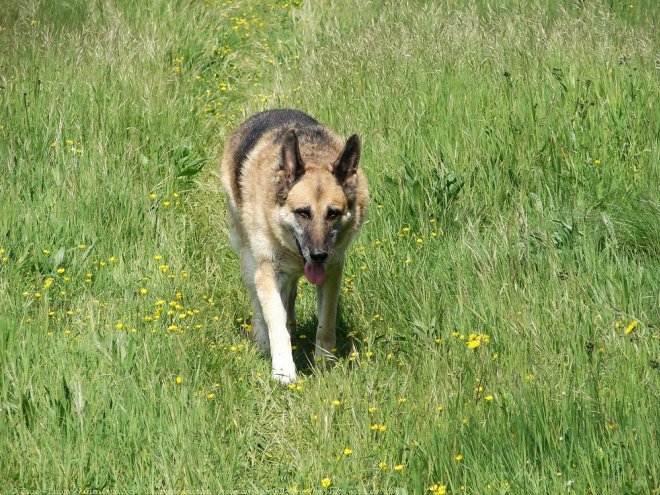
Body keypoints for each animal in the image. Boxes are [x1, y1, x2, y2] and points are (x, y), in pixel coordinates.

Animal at [220, 110, 366, 386]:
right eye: (303, 213)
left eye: (333, 213)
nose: (318, 255)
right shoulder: (267, 272)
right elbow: (275, 322)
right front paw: (283, 370)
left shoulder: (332, 272)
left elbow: (326, 322)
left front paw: (324, 364)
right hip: (249, 261)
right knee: (260, 306)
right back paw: (262, 340)